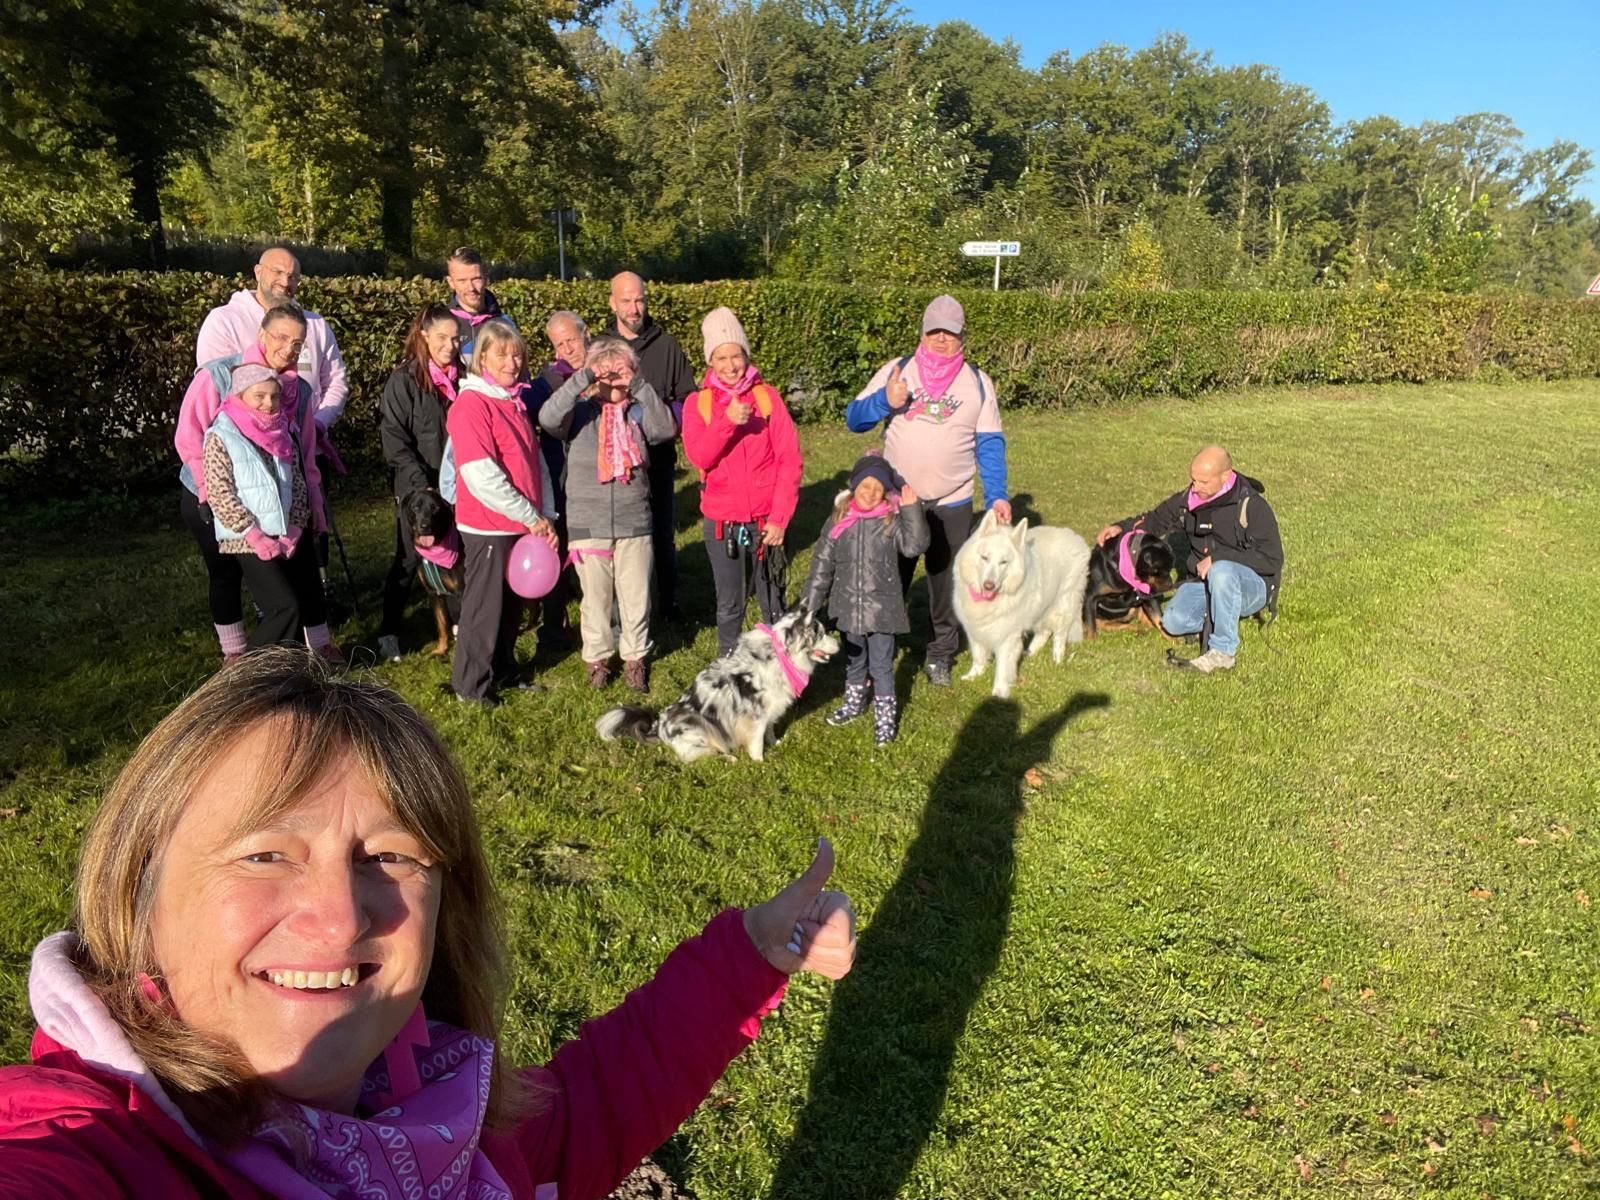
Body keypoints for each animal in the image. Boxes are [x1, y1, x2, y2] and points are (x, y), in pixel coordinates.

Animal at [400, 489, 464, 659]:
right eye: (415, 508)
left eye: (435, 508)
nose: (425, 526)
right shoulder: (433, 593)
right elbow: (441, 624)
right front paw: (441, 650)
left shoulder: (462, 591)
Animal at [953, 512, 1094, 700]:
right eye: (984, 558)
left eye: (1003, 562)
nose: (989, 585)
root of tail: (1075, 538)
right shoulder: (975, 628)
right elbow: (978, 654)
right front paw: (974, 674)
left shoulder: (1007, 636)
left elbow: (1003, 666)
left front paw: (999, 692)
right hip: (1041, 607)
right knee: (1044, 632)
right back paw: (1031, 652)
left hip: (1062, 606)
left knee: (1059, 635)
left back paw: (1057, 659)